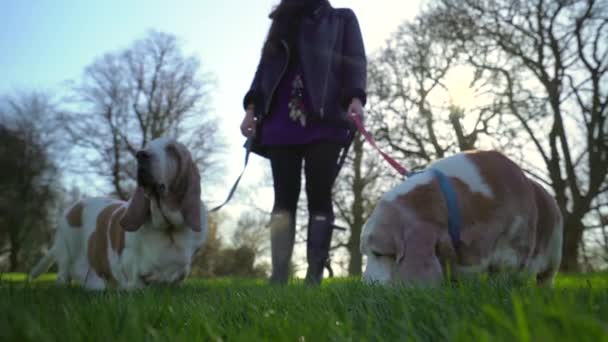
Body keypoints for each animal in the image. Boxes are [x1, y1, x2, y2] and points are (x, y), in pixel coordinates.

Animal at [29, 138, 208, 290]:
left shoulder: (180, 272)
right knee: (63, 276)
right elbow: (135, 281)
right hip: (67, 251)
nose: (141, 155)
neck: (168, 229)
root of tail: (74, 206)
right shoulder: (129, 266)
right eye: (147, 146)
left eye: (171, 150)